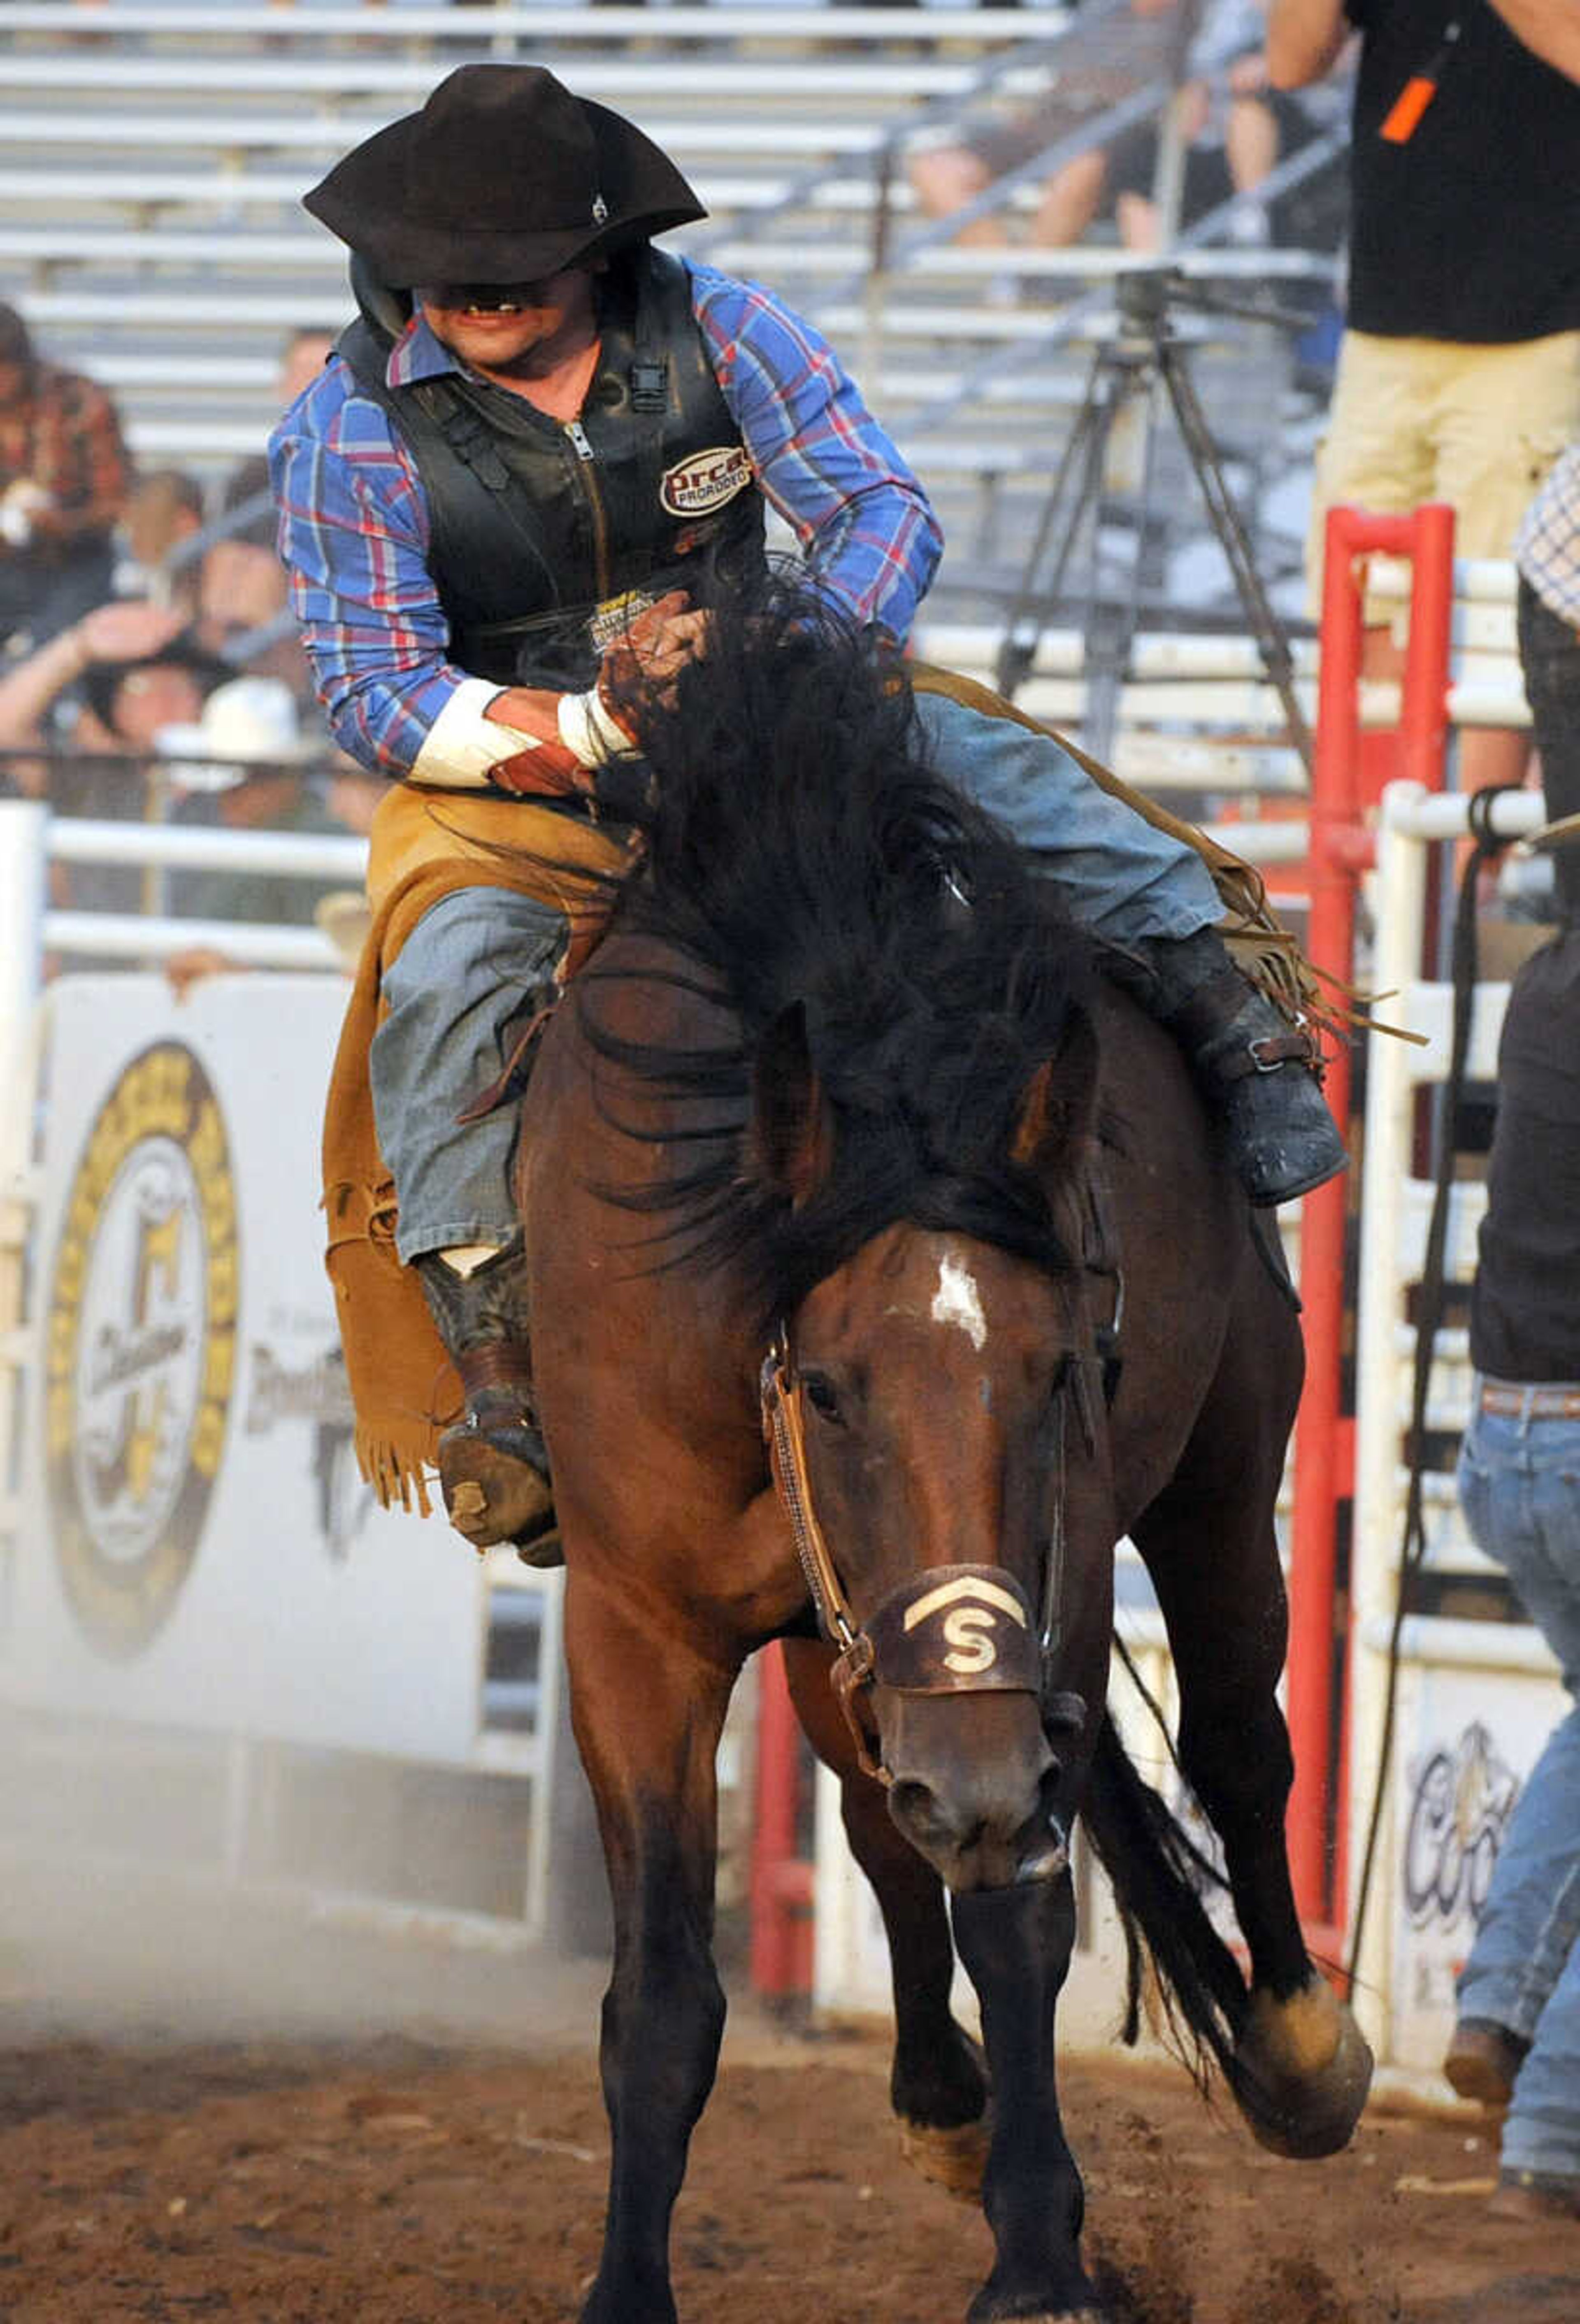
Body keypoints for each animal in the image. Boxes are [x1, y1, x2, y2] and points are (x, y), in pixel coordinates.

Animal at [511, 590, 1366, 2324]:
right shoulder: (641, 1622)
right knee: (882, 1812)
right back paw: (944, 2097)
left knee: (1239, 1737)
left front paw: (1041, 2255)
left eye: (1058, 1371)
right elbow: (666, 1993)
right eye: (828, 1389)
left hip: (1227, 1451)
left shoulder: (1051, 1593)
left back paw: (1298, 2044)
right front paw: (627, 2283)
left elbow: (1023, 1902)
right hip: (857, 1636)